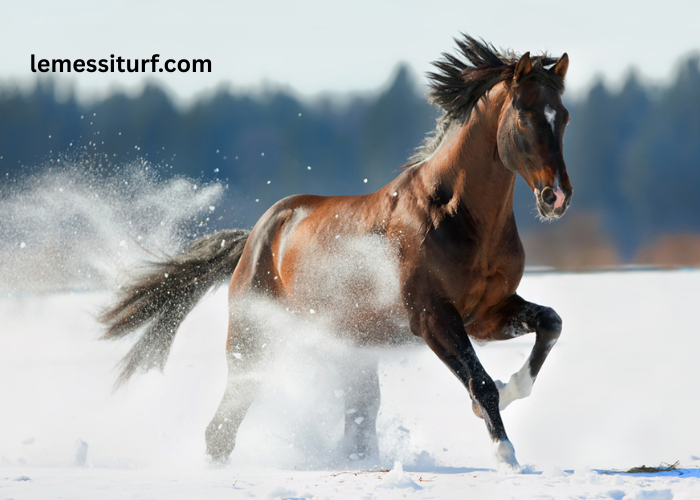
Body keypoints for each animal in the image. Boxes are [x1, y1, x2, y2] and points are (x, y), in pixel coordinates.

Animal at [98, 33, 572, 470]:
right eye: (524, 117)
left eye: (564, 116)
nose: (557, 197)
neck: (454, 215)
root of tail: (255, 237)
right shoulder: (432, 317)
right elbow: (480, 381)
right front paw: (506, 455)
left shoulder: (486, 314)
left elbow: (550, 323)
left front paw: (512, 392)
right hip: (254, 343)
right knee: (222, 428)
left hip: (351, 350)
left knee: (356, 421)